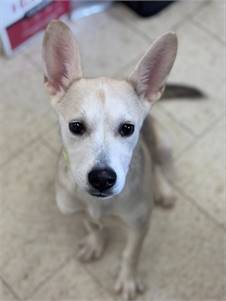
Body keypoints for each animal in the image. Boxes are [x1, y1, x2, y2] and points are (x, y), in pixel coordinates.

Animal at [42, 19, 180, 298]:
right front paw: (96, 242)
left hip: (163, 144)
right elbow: (92, 224)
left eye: (127, 128)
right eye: (76, 126)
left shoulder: (139, 222)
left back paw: (163, 189)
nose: (102, 178)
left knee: (156, 162)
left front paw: (127, 278)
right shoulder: (77, 208)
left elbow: (131, 253)